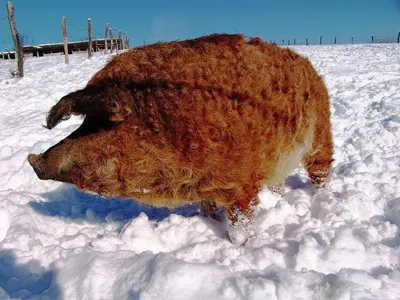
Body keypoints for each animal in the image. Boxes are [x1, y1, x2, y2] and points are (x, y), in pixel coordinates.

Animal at [28, 34, 334, 245]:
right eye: (85, 123)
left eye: (101, 123)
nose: (32, 160)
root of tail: (309, 67)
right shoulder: (207, 187)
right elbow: (209, 210)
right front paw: (210, 222)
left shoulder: (241, 183)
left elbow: (239, 224)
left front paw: (242, 245)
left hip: (321, 135)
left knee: (321, 169)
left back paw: (322, 196)